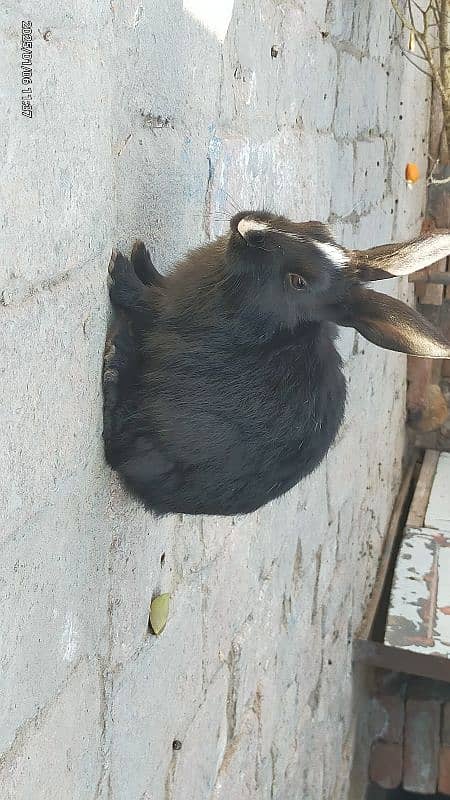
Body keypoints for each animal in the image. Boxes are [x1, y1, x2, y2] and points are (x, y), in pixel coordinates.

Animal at [102, 209, 450, 516]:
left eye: (298, 282)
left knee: (115, 437)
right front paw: (142, 255)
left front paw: (121, 266)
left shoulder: (167, 312)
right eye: (318, 228)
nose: (248, 227)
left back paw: (115, 359)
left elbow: (143, 298)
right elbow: (156, 280)